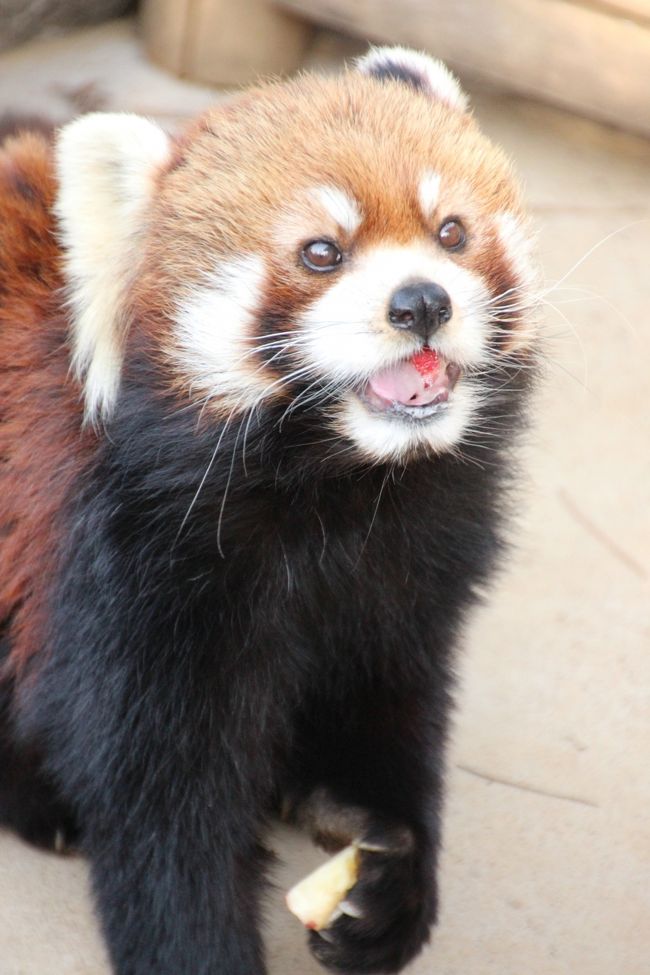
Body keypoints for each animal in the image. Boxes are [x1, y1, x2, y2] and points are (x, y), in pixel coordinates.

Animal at [0, 47, 536, 975]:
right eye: (322, 252)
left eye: (451, 232)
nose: (422, 302)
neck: (341, 492)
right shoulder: (132, 576)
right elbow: (164, 813)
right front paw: (197, 945)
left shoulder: (407, 579)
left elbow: (391, 711)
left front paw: (388, 879)